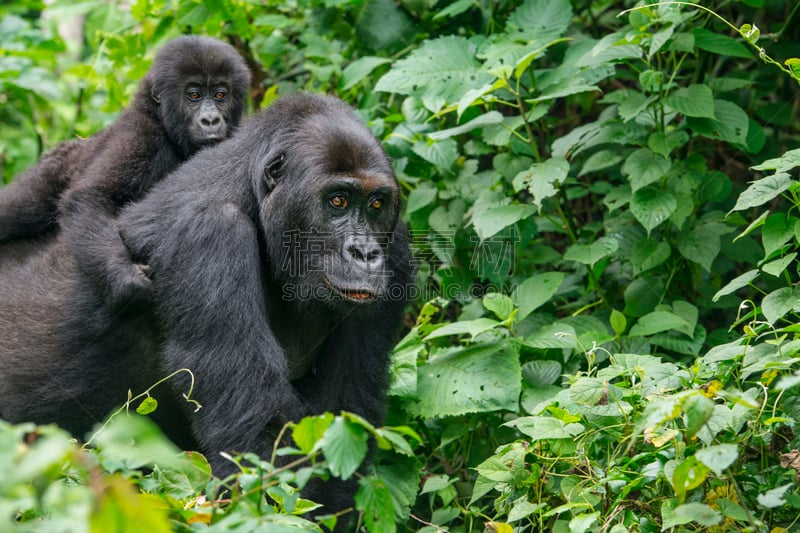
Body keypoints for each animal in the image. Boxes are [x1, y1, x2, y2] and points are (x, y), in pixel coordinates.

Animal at [0, 36, 250, 308]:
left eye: (220, 95)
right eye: (193, 95)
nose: (211, 120)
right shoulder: (141, 135)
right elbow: (90, 197)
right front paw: (125, 277)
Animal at [0, 94, 412, 512]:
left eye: (376, 205)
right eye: (338, 201)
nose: (365, 253)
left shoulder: (396, 248)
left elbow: (345, 423)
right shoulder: (209, 232)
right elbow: (257, 441)